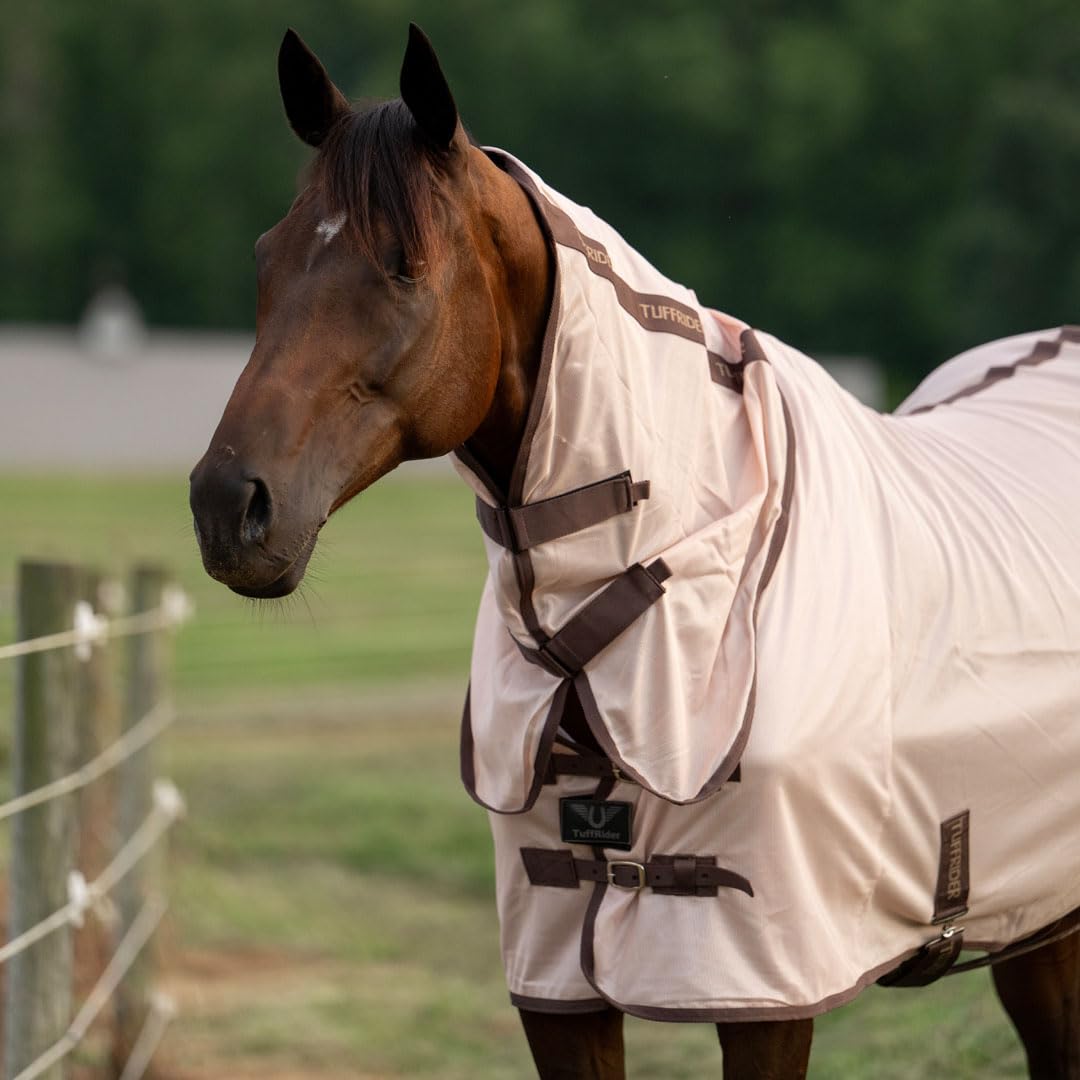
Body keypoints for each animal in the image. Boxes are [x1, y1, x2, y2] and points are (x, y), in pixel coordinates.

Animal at [189, 25, 1080, 1079]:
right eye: (267, 254)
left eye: (404, 264)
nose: (228, 506)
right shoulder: (558, 981)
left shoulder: (764, 984)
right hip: (1034, 918)